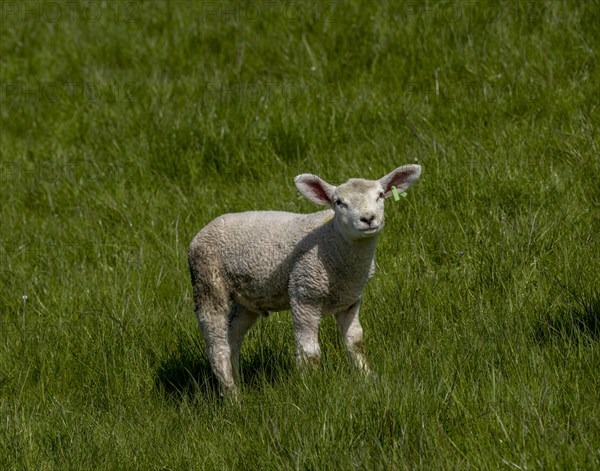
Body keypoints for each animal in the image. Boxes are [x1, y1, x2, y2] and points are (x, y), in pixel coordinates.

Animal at [188, 165, 422, 398]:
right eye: (339, 202)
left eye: (380, 195)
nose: (368, 218)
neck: (332, 242)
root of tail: (203, 231)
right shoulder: (305, 293)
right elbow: (310, 352)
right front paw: (312, 389)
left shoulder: (350, 299)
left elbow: (356, 342)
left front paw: (368, 378)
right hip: (207, 280)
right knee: (217, 346)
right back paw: (233, 396)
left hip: (247, 297)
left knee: (233, 337)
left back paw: (237, 383)